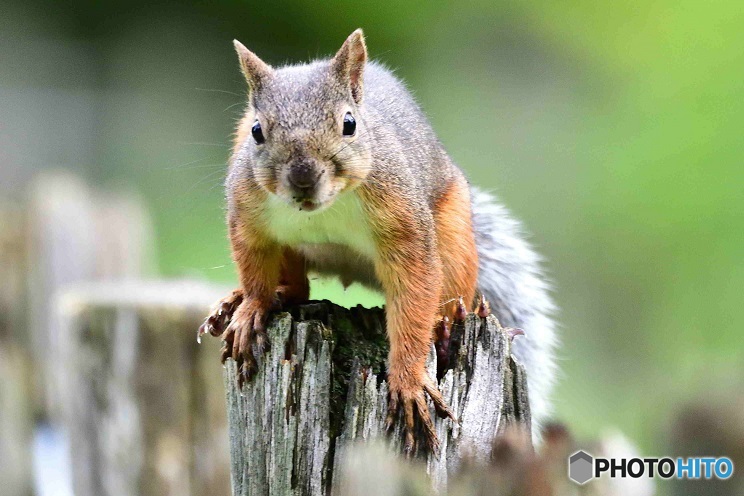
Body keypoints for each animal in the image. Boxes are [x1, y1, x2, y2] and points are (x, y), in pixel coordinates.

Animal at [199, 29, 560, 452]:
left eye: (349, 124)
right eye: (257, 131)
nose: (304, 178)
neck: (324, 209)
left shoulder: (405, 225)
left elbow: (414, 296)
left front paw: (408, 380)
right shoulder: (247, 216)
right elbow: (254, 264)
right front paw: (252, 307)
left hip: (455, 237)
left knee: (451, 295)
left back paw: (447, 324)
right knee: (299, 288)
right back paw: (251, 298)